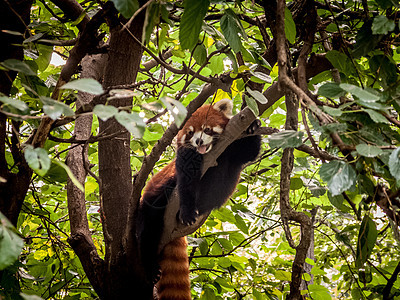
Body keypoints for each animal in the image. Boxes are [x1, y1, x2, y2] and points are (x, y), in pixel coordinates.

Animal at [138, 99, 262, 300]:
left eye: (207, 129)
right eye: (190, 133)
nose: (198, 141)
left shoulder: (233, 150)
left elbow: (250, 151)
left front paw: (253, 123)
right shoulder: (185, 160)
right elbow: (186, 186)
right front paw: (187, 211)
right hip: (151, 205)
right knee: (148, 230)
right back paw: (151, 266)